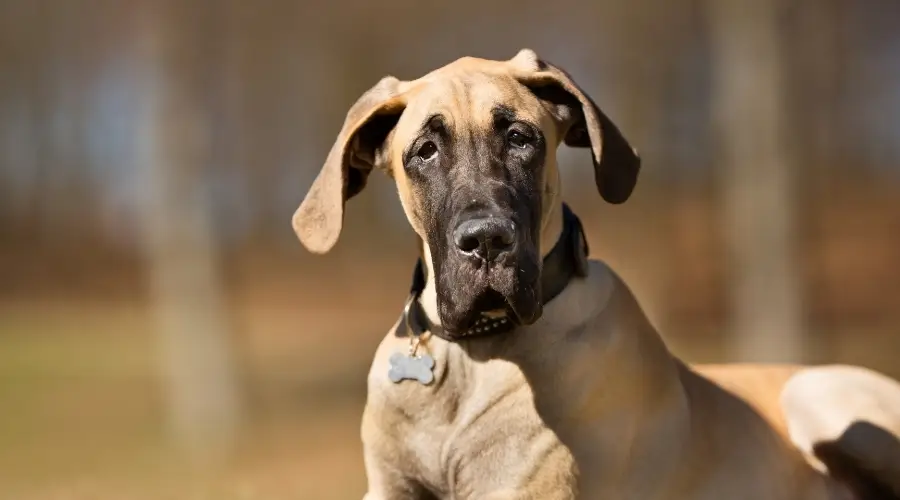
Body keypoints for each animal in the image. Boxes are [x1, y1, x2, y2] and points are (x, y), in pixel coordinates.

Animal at [294, 49, 900, 500]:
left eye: (520, 138)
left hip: (819, 393)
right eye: (424, 151)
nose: (487, 241)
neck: (471, 355)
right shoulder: (388, 486)